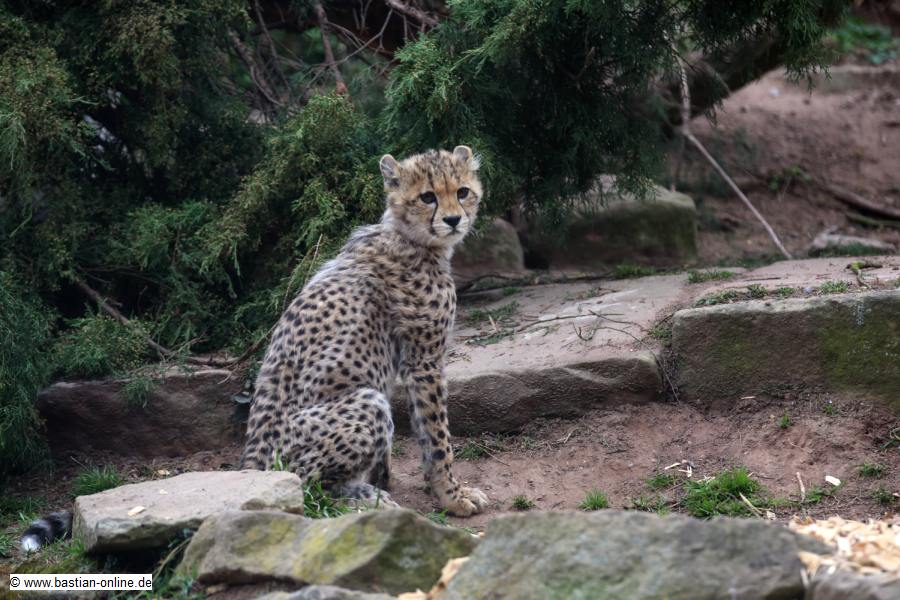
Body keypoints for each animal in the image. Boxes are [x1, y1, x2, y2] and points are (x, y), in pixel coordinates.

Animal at [238, 145, 489, 516]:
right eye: (427, 197)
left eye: (462, 192)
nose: (454, 220)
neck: (409, 237)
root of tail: (251, 467)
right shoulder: (424, 361)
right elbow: (437, 435)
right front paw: (452, 495)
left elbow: (421, 429)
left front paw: (418, 483)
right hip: (365, 405)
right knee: (305, 488)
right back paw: (366, 499)